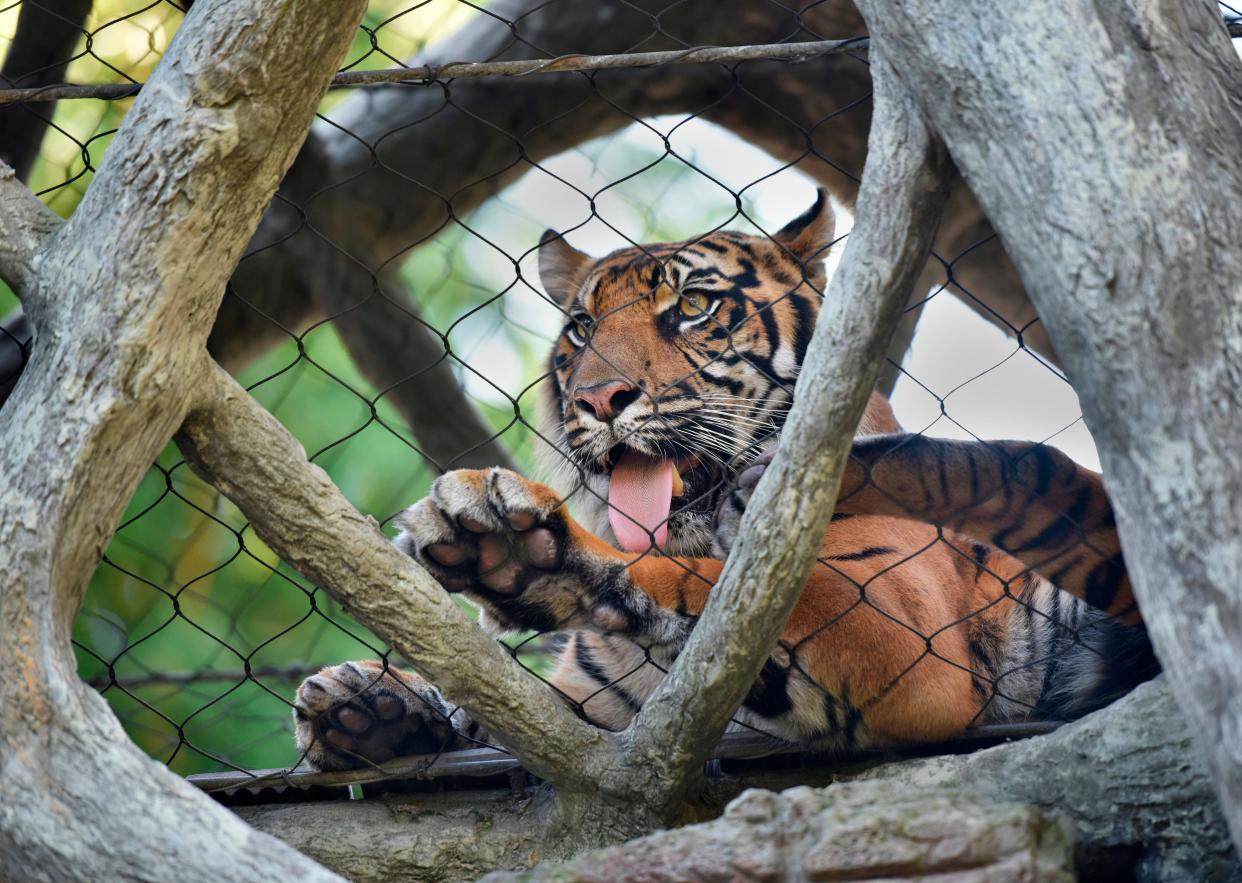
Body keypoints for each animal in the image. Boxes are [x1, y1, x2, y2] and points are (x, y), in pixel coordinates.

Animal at [295, 191, 1157, 774]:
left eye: (694, 306)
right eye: (582, 327)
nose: (598, 398)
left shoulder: (905, 631)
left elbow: (716, 589)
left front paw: (524, 551)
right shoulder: (588, 707)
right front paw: (367, 700)